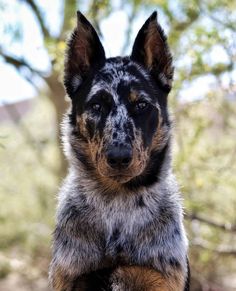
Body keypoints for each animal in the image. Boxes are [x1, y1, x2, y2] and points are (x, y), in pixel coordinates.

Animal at [49, 10, 190, 290]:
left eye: (142, 105)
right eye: (96, 106)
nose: (119, 157)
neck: (117, 204)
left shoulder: (157, 278)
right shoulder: (73, 277)